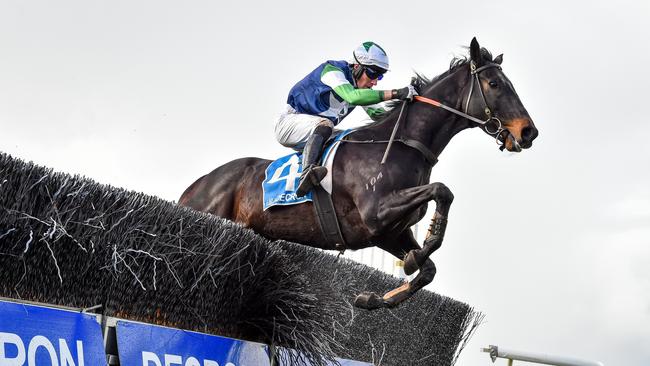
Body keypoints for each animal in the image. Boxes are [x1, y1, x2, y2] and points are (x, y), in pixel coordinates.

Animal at [177, 38, 536, 308]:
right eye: (494, 84)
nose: (528, 132)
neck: (402, 145)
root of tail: (197, 186)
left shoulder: (389, 233)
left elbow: (428, 269)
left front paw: (378, 295)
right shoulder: (375, 214)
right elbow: (442, 190)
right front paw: (425, 244)